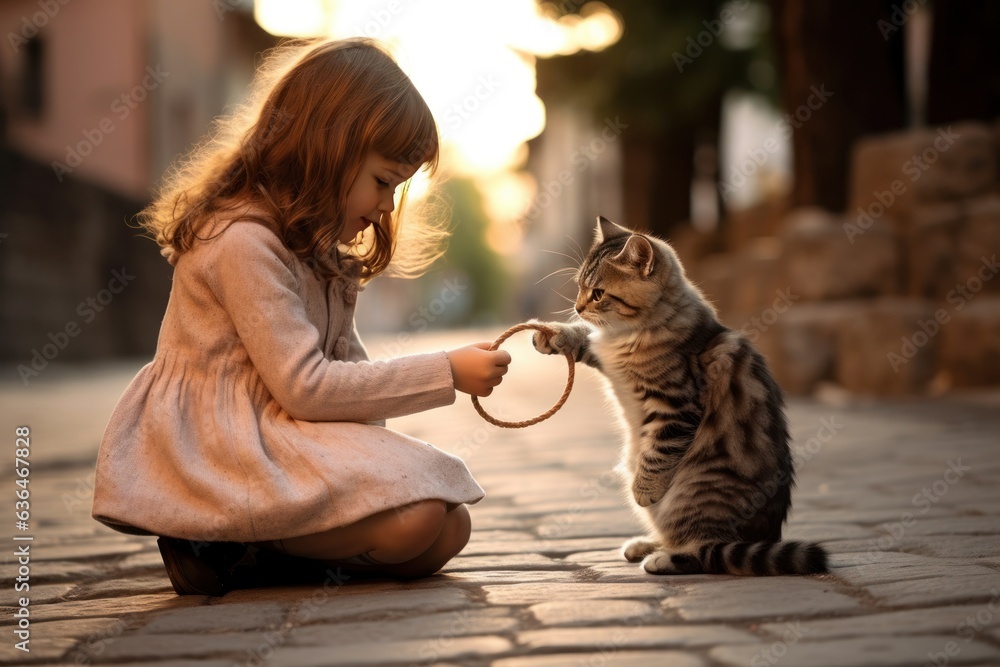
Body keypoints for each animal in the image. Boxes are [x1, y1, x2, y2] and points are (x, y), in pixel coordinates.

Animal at [532, 218, 828, 576]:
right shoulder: (606, 355)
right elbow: (582, 336)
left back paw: (661, 558)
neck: (629, 333)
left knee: (705, 550)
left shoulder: (675, 405)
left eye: (598, 294)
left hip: (695, 495)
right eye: (579, 287)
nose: (577, 306)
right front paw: (551, 334)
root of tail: (766, 536)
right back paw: (645, 545)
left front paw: (643, 490)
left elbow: (657, 454)